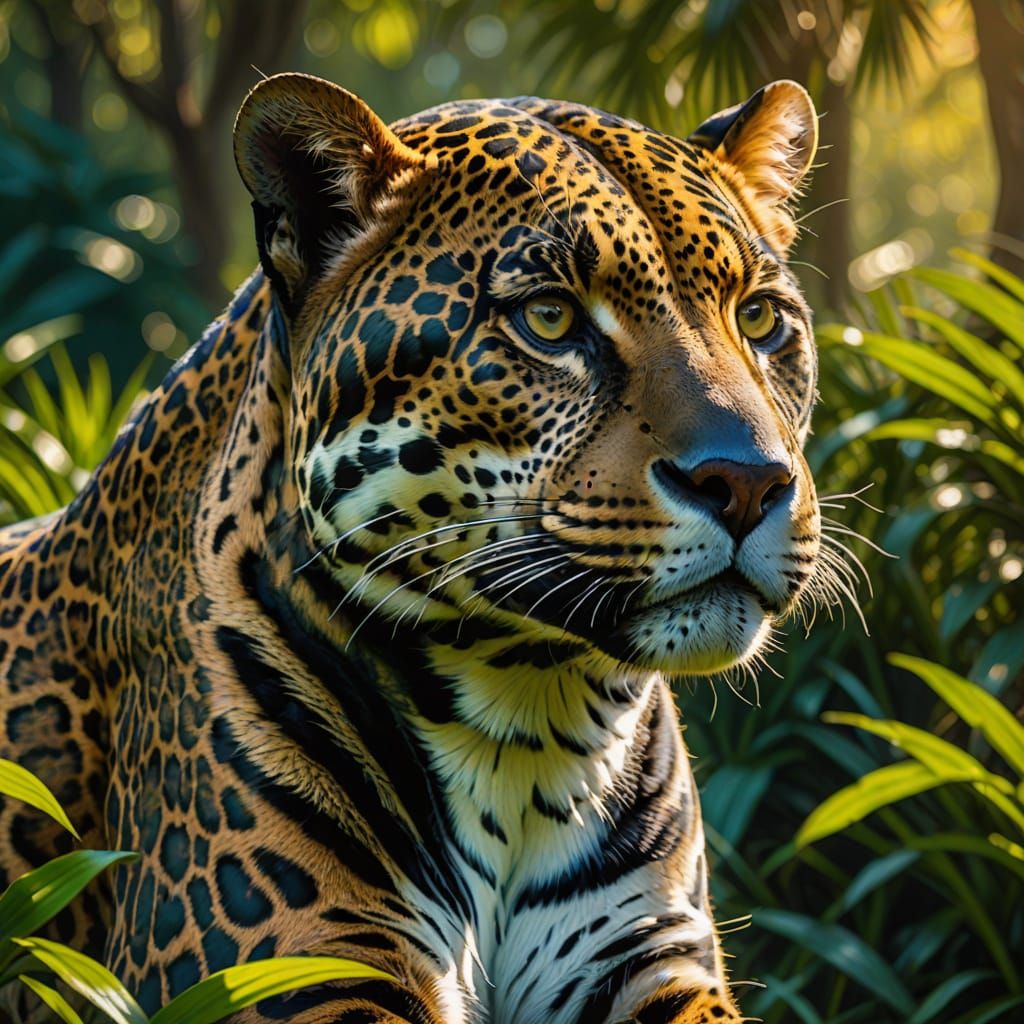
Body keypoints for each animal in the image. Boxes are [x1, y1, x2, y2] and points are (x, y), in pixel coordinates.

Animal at [0, 72, 822, 1023]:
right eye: (549, 319)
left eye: (759, 318)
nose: (749, 482)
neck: (534, 726)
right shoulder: (300, 968)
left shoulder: (654, 956)